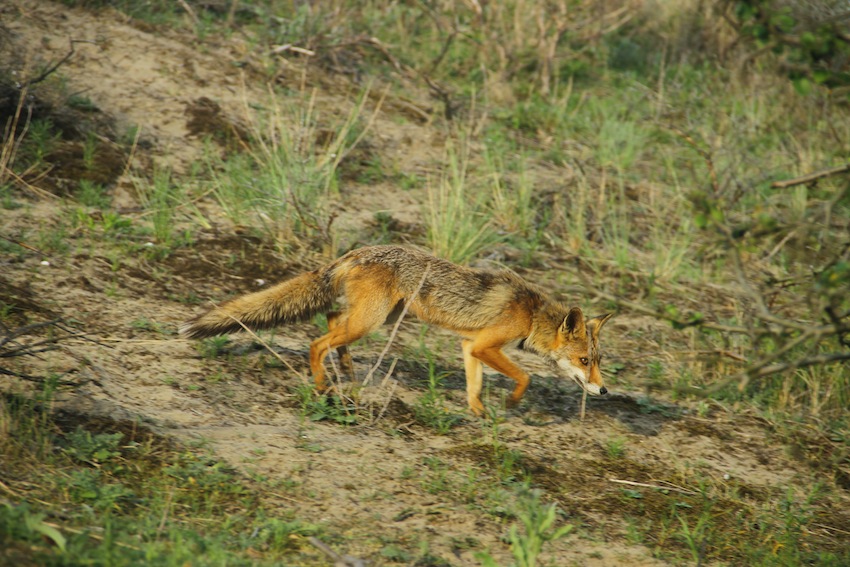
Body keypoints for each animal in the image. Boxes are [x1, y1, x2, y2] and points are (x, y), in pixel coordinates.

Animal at [182, 245, 612, 418]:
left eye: (598, 361)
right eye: (583, 360)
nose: (604, 391)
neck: (533, 314)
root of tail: (356, 251)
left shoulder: (470, 345)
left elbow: (474, 385)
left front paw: (478, 412)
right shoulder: (487, 345)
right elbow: (523, 376)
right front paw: (510, 403)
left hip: (377, 319)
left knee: (332, 320)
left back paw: (347, 370)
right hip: (371, 321)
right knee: (317, 341)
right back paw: (322, 385)